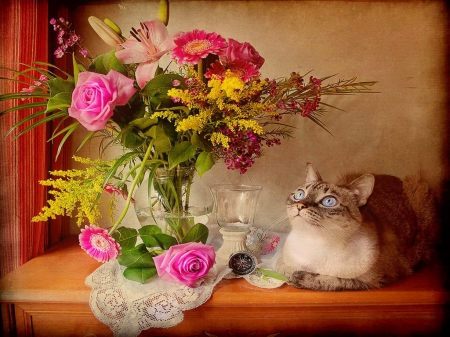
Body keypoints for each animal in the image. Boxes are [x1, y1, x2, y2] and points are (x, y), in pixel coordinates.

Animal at [276, 163, 438, 288]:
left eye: (329, 201)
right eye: (300, 195)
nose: (300, 205)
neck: (314, 242)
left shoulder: (373, 280)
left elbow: (332, 281)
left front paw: (300, 278)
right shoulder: (281, 264)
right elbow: (285, 270)